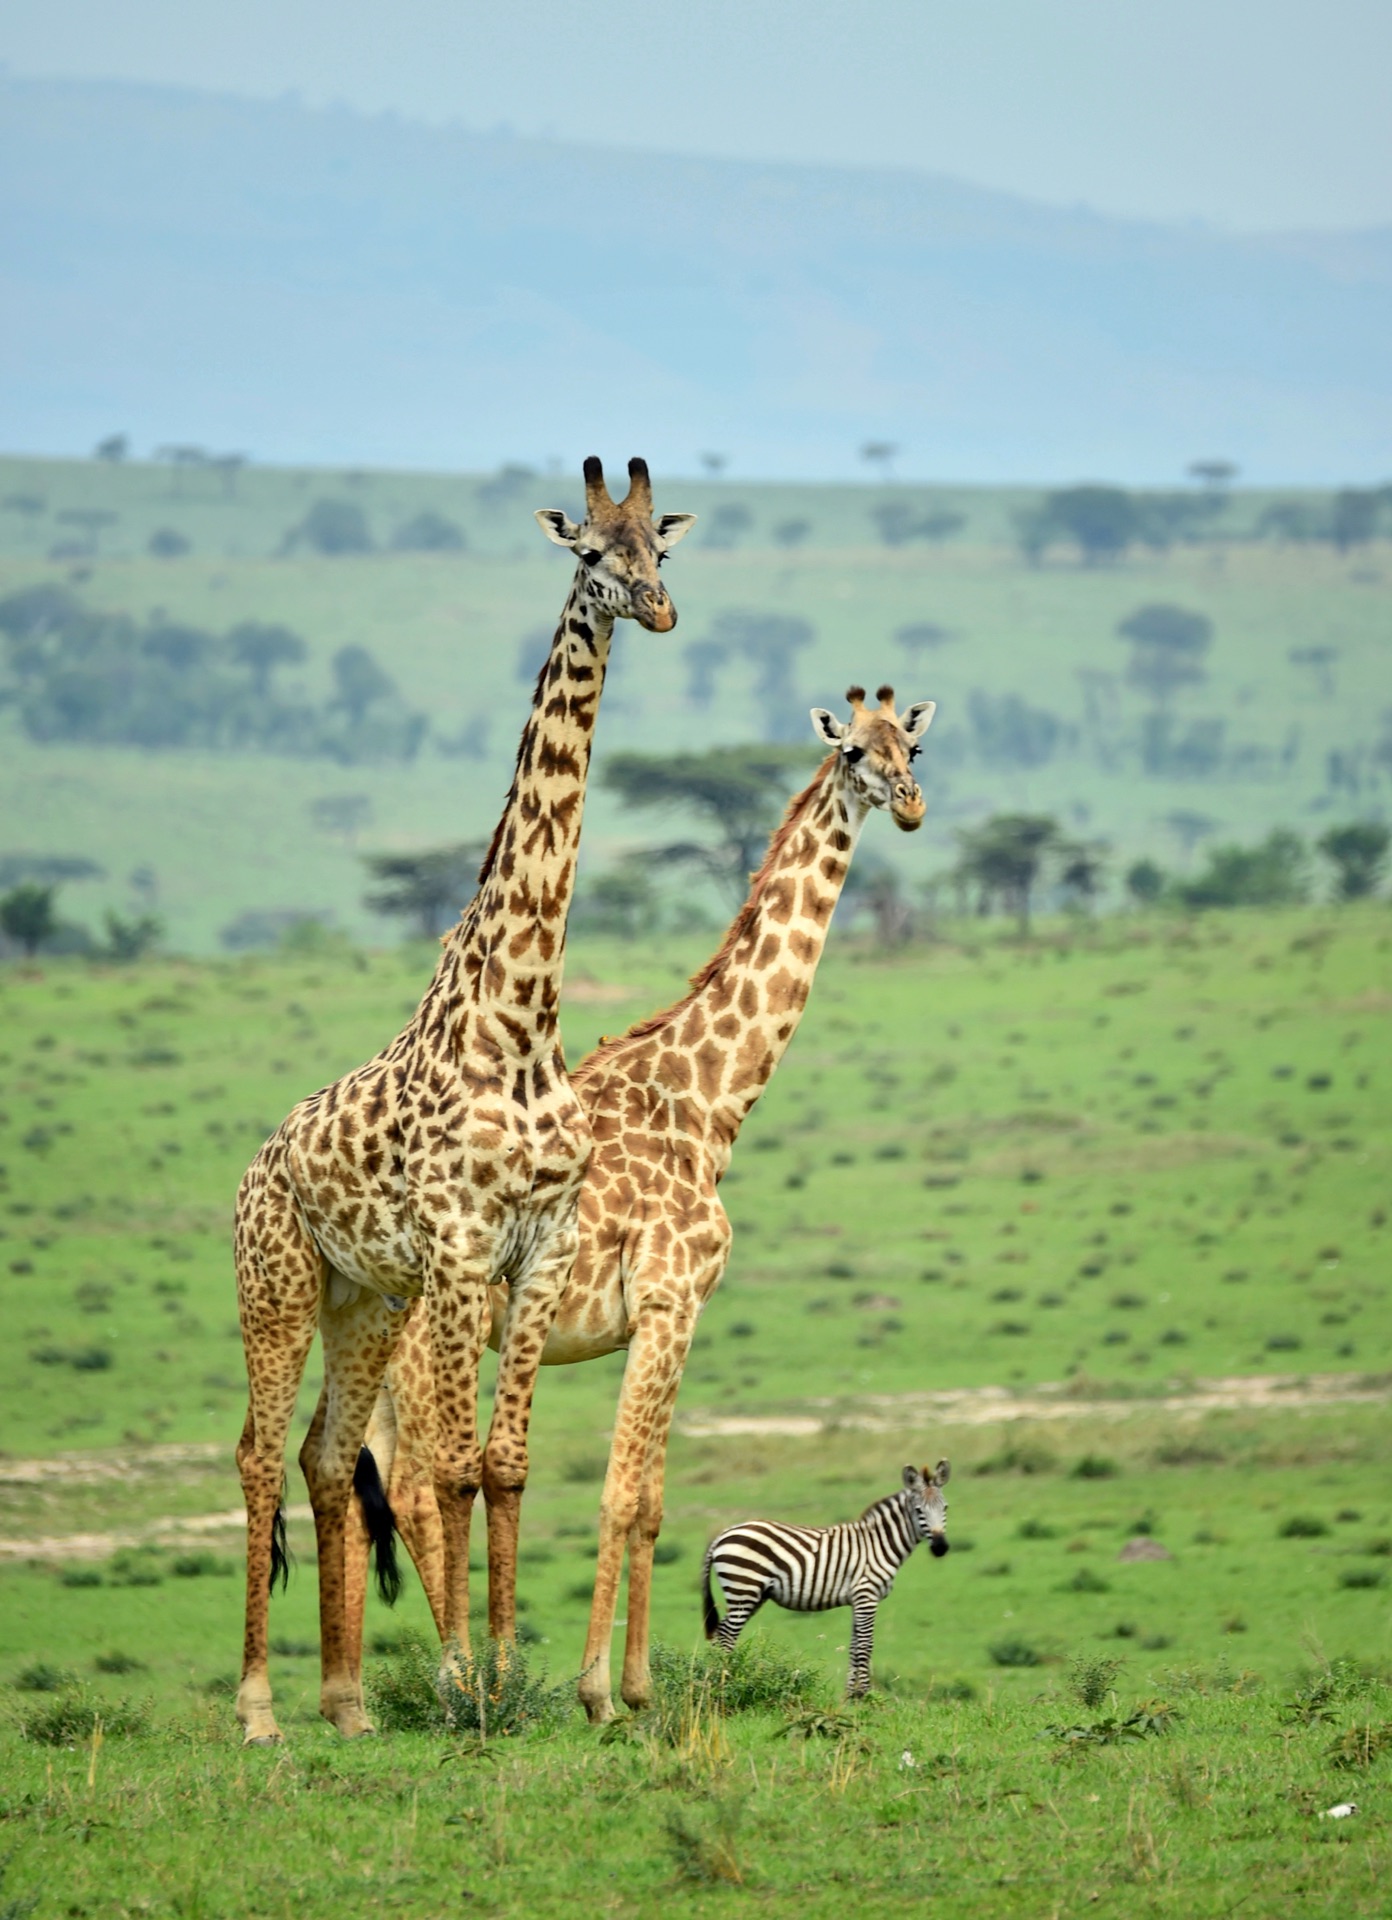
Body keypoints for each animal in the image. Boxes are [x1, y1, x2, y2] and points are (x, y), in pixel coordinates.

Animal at [235, 456, 706, 1751]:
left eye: (663, 548)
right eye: (589, 554)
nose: (659, 611)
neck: (521, 1017)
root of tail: (257, 1162)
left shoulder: (532, 1250)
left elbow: (504, 1463)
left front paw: (510, 1673)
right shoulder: (457, 1244)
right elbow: (448, 1467)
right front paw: (462, 1686)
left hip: (363, 1301)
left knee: (325, 1455)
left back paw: (347, 1705)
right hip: (277, 1286)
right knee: (256, 1456)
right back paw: (259, 1709)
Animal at [698, 1451, 948, 1697]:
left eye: (945, 1508)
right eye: (918, 1511)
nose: (941, 1548)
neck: (879, 1544)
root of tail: (722, 1534)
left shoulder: (858, 1600)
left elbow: (854, 1647)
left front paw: (851, 1697)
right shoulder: (867, 1595)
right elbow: (866, 1646)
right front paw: (866, 1695)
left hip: (752, 1594)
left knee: (722, 1634)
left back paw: (716, 1681)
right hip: (743, 1588)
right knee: (727, 1635)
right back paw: (723, 1684)